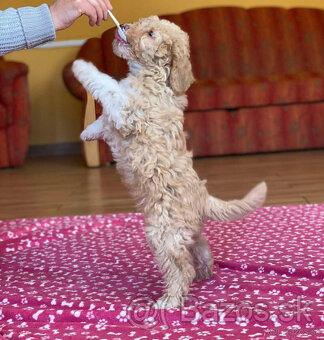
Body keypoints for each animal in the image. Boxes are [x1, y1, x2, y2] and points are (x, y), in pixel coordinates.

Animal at [72, 15, 268, 308]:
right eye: (143, 23)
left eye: (150, 33)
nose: (124, 26)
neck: (155, 76)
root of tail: (204, 198)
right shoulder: (117, 115)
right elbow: (103, 119)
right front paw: (87, 133)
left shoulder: (126, 110)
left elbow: (106, 85)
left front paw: (82, 66)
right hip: (185, 231)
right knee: (201, 247)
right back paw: (205, 270)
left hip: (162, 232)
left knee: (180, 267)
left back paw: (171, 299)